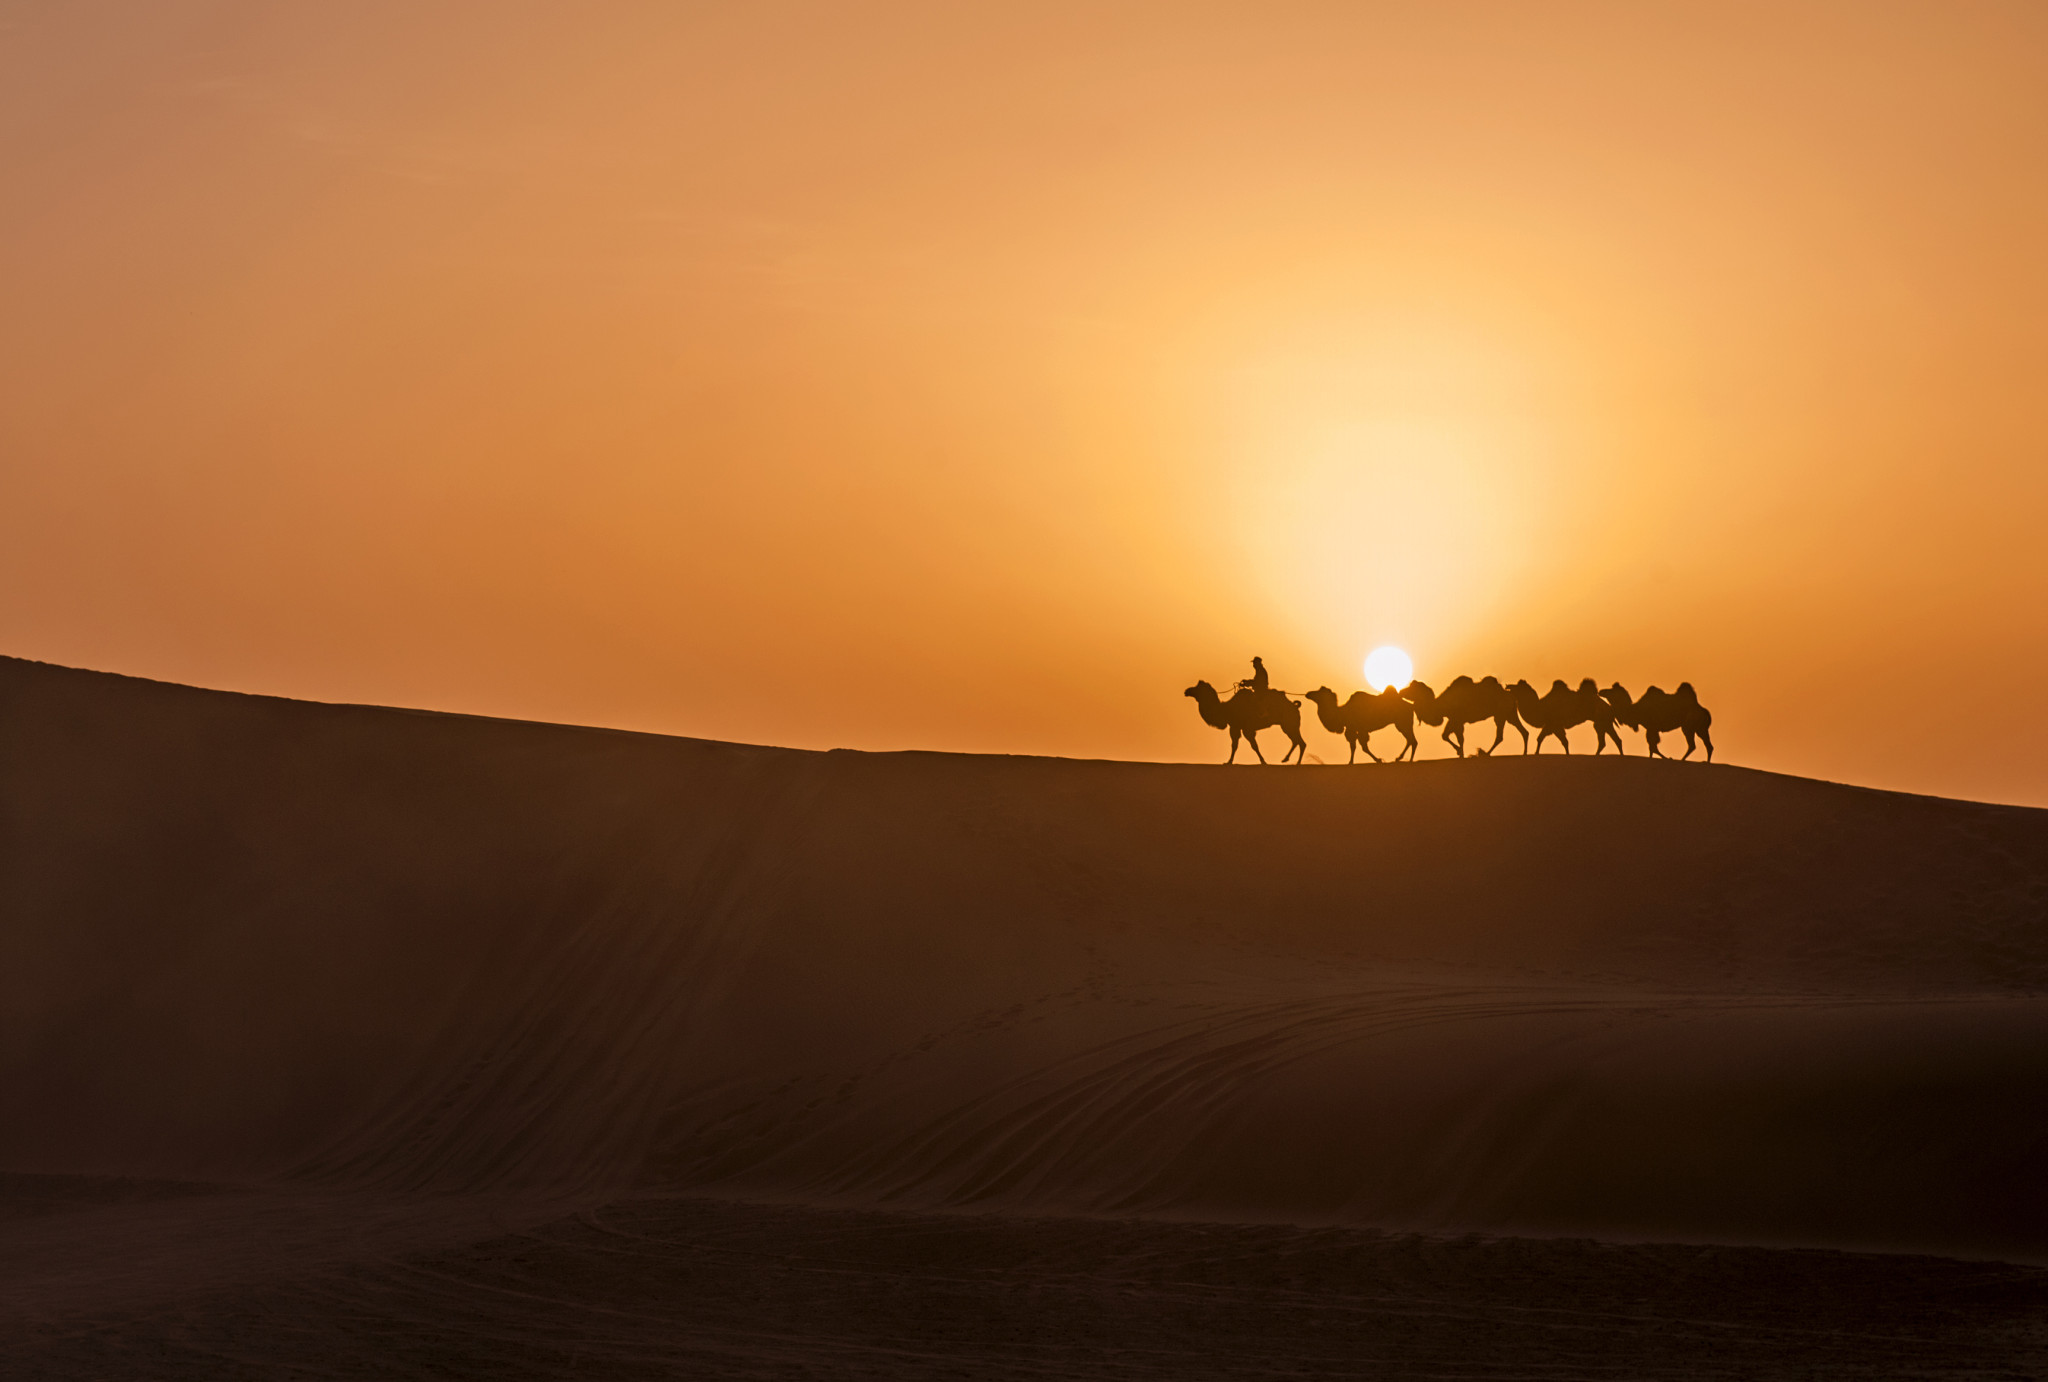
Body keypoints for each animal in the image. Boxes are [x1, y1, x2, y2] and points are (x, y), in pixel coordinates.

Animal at [1400, 679, 1531, 761]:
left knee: (1501, 736)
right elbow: (1448, 736)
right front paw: (1460, 753)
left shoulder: (1456, 719)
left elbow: (1456, 738)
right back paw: (1523, 752)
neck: (1442, 705)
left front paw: (1460, 753)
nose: (1401, 691)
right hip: (1509, 714)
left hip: (1501, 714)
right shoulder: (1455, 720)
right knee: (1522, 732)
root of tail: (1511, 695)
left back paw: (1485, 753)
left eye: (1412, 688)